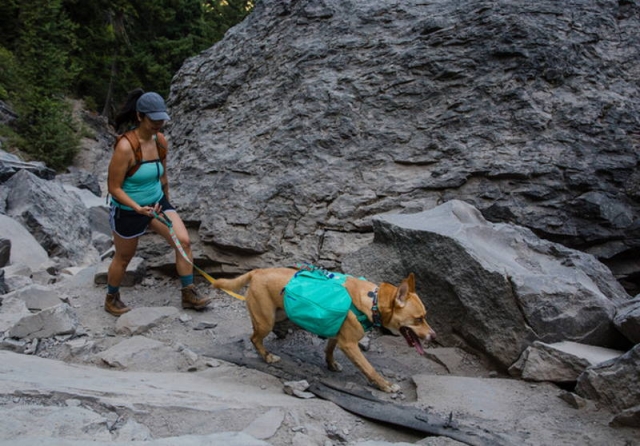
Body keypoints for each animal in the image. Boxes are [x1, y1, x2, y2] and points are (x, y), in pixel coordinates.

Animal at [214, 268, 436, 390]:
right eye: (419, 319)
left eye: (425, 316)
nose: (433, 336)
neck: (373, 302)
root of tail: (257, 271)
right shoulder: (350, 344)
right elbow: (369, 368)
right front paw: (385, 386)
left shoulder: (336, 334)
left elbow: (329, 349)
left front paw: (331, 364)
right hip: (267, 321)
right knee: (254, 338)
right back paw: (267, 356)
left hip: (277, 313)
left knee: (254, 332)